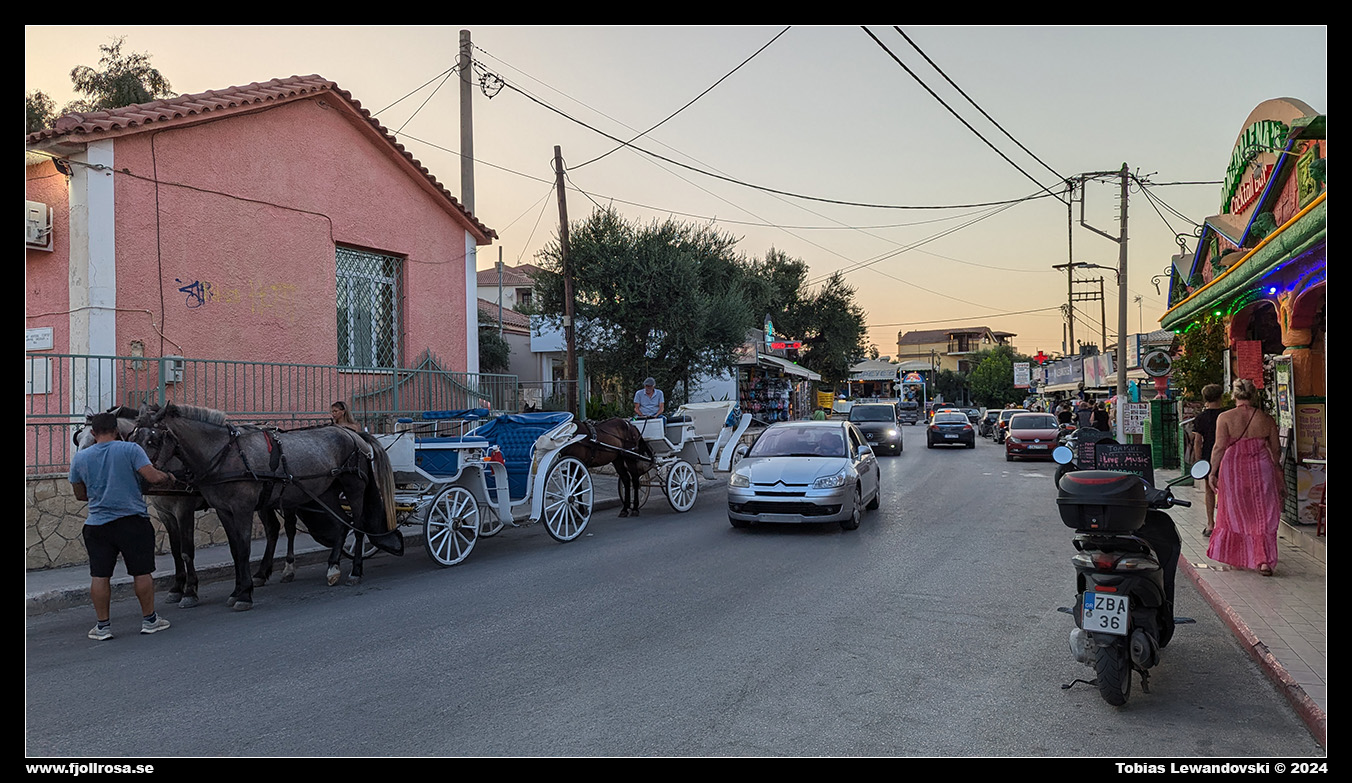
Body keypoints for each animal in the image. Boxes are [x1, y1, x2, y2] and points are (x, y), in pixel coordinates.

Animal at [133, 402, 400, 611]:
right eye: (133, 437)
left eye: (153, 439)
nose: (138, 478)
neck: (224, 455)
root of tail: (354, 435)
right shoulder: (220, 511)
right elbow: (232, 550)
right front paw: (236, 590)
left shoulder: (232, 509)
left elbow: (240, 550)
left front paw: (242, 594)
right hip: (326, 491)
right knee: (340, 525)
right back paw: (332, 567)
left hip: (353, 488)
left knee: (357, 527)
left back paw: (355, 571)